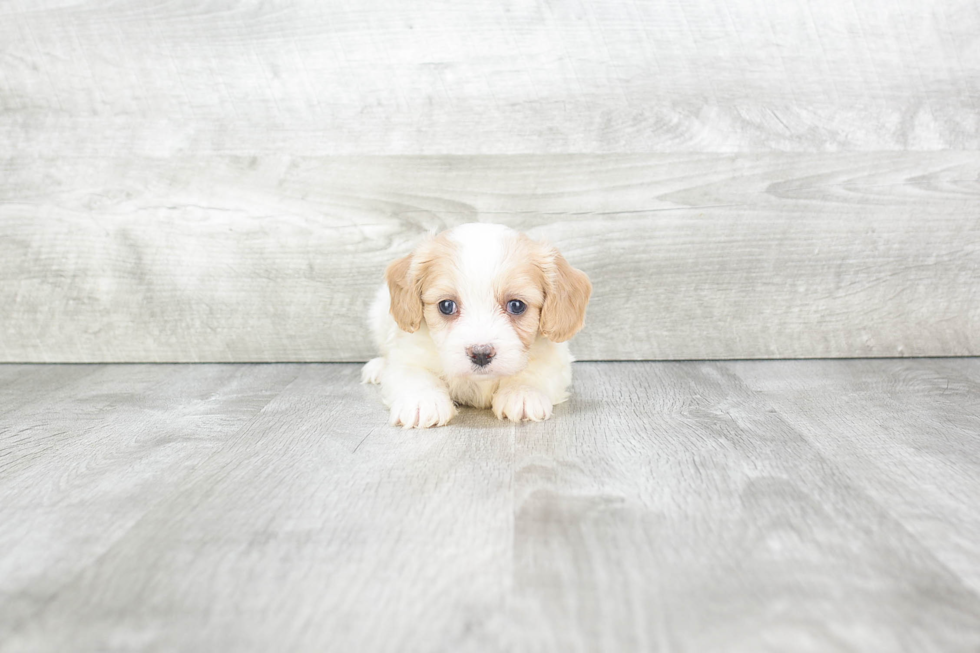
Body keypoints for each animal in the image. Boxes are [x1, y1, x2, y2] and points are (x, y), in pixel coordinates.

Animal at [360, 223, 588, 428]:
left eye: (516, 305)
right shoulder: (408, 355)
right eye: (446, 306)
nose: (480, 354)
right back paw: (377, 367)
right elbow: (416, 375)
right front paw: (423, 402)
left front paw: (522, 393)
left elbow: (534, 372)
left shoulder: (555, 360)